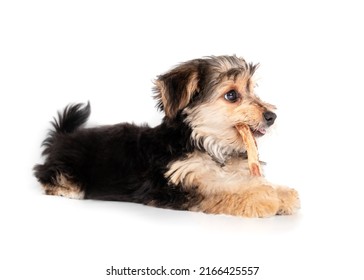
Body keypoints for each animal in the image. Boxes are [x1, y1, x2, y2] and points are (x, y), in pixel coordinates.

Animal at [34, 54, 300, 217]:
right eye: (232, 95)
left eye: (252, 90)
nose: (271, 116)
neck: (206, 141)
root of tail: (63, 136)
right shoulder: (180, 182)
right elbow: (221, 188)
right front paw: (263, 197)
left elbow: (241, 180)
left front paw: (281, 192)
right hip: (68, 164)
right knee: (47, 174)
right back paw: (67, 189)